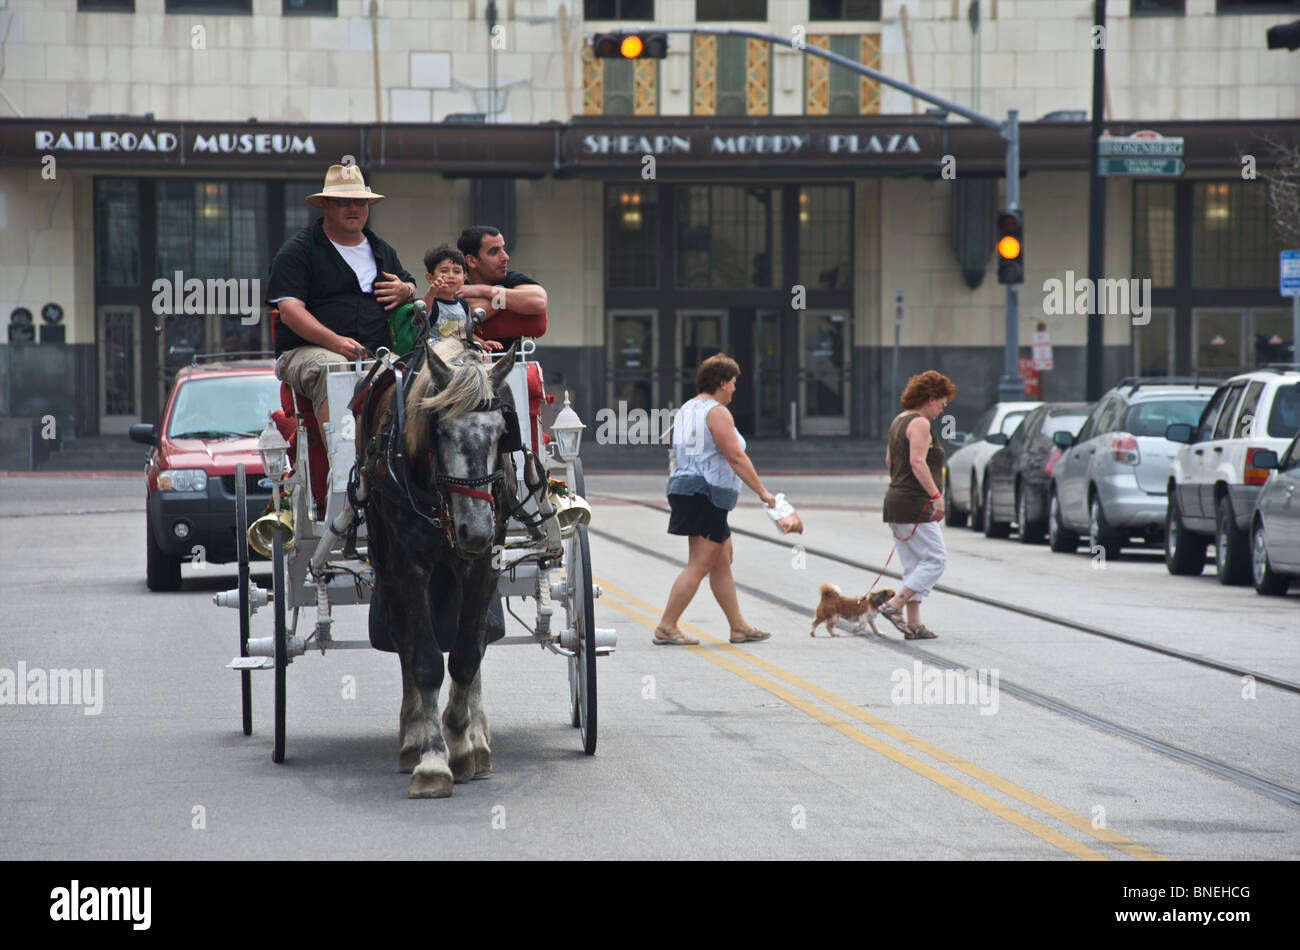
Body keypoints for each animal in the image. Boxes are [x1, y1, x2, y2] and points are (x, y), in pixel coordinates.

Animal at [358, 337, 520, 800]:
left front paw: (463, 745)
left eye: (502, 432)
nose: (475, 529)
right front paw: (432, 758)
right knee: (404, 639)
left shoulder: (484, 563)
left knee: (476, 639)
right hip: (385, 559)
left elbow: (467, 654)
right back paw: (413, 737)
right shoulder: (410, 565)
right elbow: (426, 660)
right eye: (441, 430)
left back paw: (475, 737)